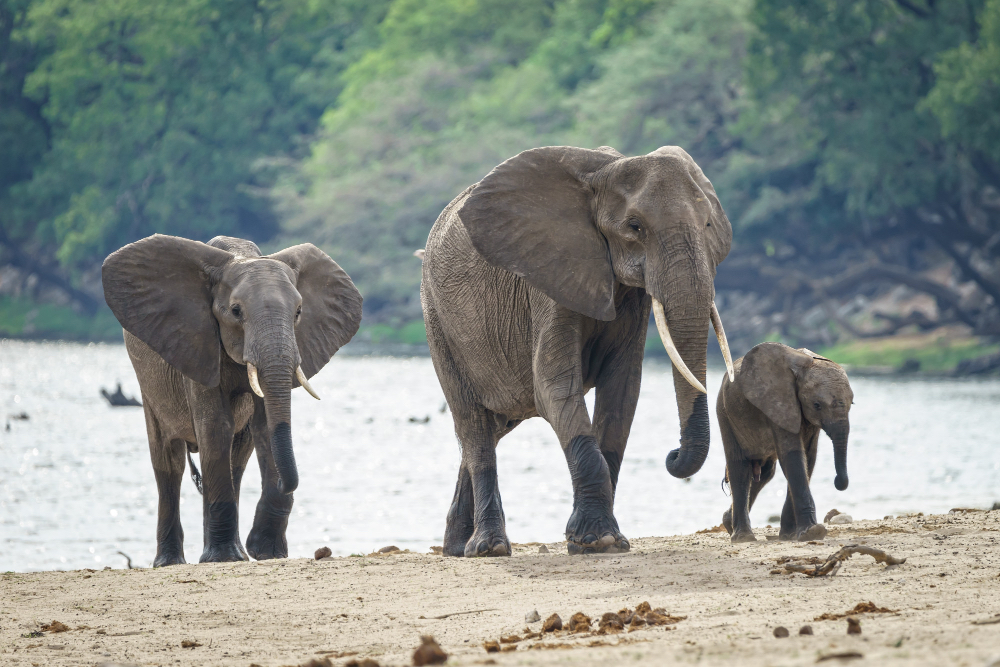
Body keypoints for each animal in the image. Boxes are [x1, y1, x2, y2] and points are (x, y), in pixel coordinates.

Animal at [100, 234, 360, 564]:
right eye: (236, 311)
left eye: (299, 312)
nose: (284, 482)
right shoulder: (197, 343)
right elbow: (215, 427)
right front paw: (228, 557)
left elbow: (264, 427)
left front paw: (266, 552)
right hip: (149, 384)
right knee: (169, 462)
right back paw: (174, 561)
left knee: (237, 460)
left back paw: (232, 553)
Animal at [420, 145, 736, 560]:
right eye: (635, 226)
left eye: (708, 224)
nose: (672, 456)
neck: (606, 170)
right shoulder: (547, 278)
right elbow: (553, 387)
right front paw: (597, 541)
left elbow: (622, 392)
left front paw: (604, 541)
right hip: (437, 321)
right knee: (473, 423)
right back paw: (489, 549)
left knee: (492, 426)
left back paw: (458, 548)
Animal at [720, 344, 852, 544]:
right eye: (817, 405)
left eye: (852, 403)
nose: (838, 482)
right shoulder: (778, 402)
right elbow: (793, 456)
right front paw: (813, 533)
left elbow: (808, 459)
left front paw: (791, 535)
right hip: (725, 413)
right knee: (740, 468)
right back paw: (743, 537)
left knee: (764, 473)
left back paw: (729, 524)